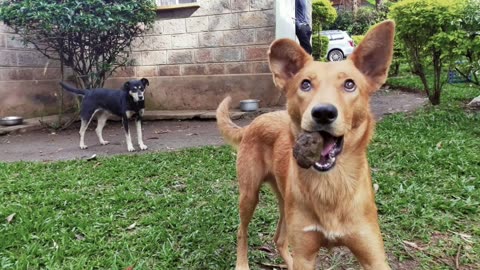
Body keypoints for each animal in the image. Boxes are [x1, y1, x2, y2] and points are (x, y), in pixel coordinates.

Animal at [217, 21, 394, 270]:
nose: (323, 112)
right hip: (249, 194)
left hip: (284, 201)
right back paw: (242, 264)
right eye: (305, 84)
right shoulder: (305, 253)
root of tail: (254, 123)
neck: (331, 184)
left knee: (279, 239)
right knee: (242, 231)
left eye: (350, 84)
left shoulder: (374, 256)